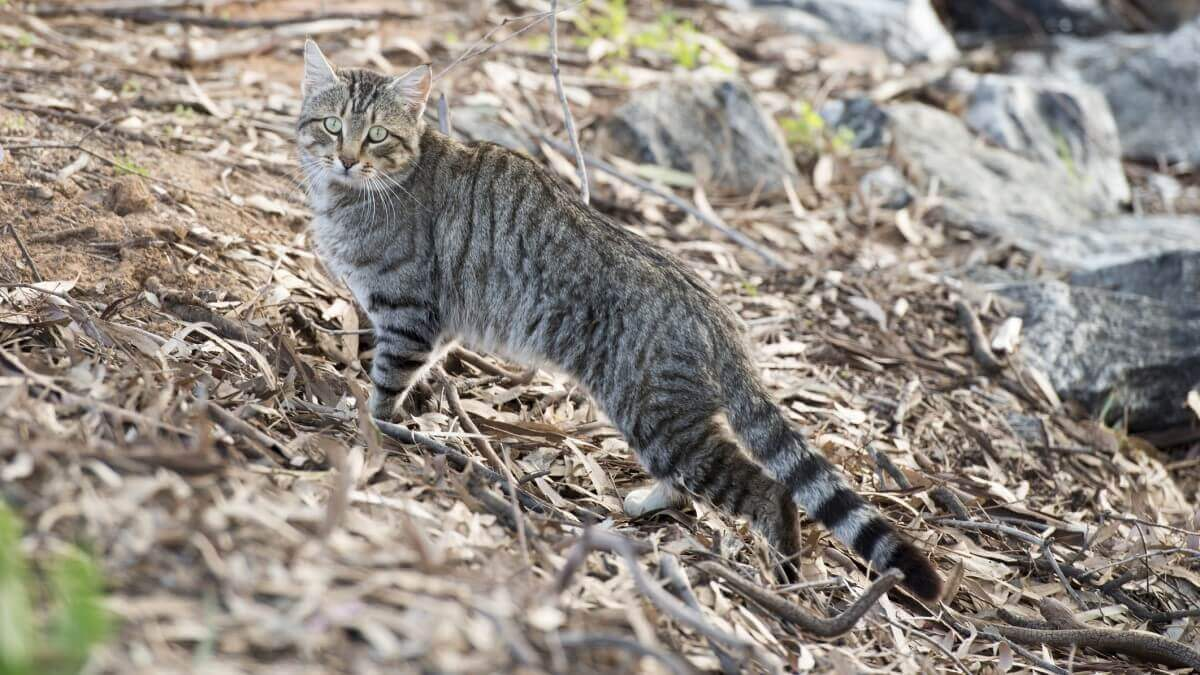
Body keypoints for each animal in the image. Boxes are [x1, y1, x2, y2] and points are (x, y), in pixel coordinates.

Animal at [295, 40, 940, 598]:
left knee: (768, 489)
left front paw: (367, 426)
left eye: (377, 135)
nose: (346, 160)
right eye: (332, 126)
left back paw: (784, 574)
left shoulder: (408, 313)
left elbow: (385, 385)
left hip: (657, 416)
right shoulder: (433, 325)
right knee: (689, 488)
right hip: (664, 422)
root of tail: (717, 314)